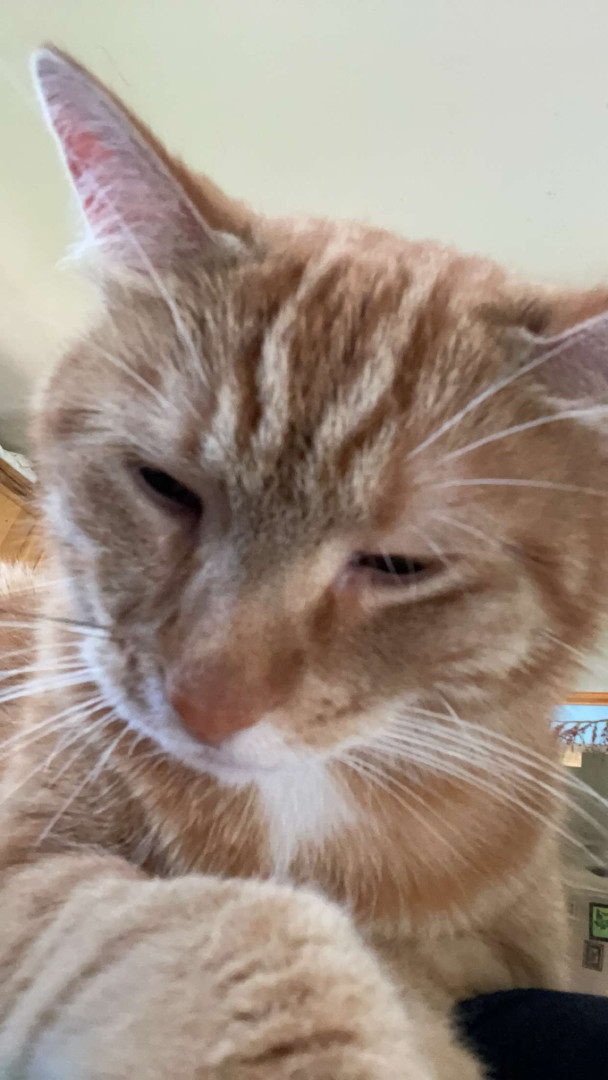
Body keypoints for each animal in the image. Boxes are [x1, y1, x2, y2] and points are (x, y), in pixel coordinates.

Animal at [0, 44, 607, 1078]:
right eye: (166, 486)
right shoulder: (26, 866)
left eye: (399, 566)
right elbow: (193, 916)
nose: (207, 703)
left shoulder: (501, 948)